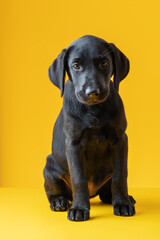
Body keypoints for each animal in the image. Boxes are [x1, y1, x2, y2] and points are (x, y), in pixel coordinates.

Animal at [43, 35, 136, 221]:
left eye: (104, 64)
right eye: (76, 66)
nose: (92, 92)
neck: (93, 109)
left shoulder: (120, 139)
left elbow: (120, 176)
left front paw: (122, 204)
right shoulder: (73, 143)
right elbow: (79, 179)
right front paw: (79, 208)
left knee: (108, 191)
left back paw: (122, 198)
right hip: (49, 166)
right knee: (53, 191)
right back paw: (59, 202)